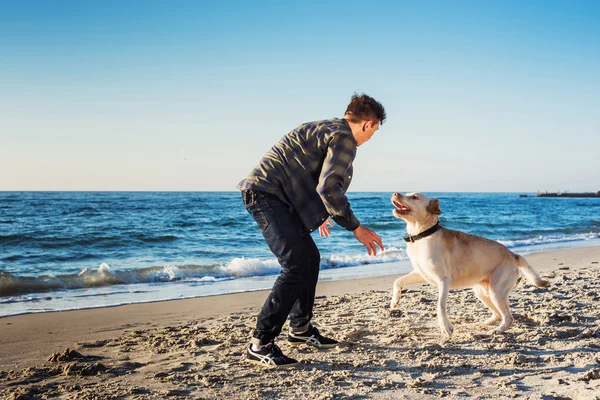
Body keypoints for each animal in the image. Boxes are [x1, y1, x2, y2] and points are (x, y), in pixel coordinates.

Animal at [390, 192, 548, 336]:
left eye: (414, 197)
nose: (395, 193)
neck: (422, 235)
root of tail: (513, 255)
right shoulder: (421, 273)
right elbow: (398, 281)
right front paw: (394, 301)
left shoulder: (443, 280)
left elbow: (440, 306)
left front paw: (446, 327)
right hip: (482, 292)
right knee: (498, 314)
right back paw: (483, 324)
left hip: (496, 292)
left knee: (508, 317)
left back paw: (497, 330)